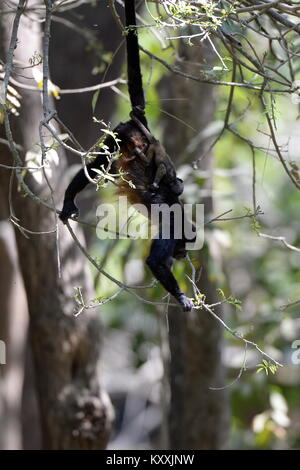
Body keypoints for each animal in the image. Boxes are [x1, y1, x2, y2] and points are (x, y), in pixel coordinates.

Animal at [59, 0, 195, 312]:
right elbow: (154, 261)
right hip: (121, 134)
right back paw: (69, 197)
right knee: (98, 163)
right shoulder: (171, 224)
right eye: (183, 246)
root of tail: (142, 127)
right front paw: (181, 297)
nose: (182, 256)